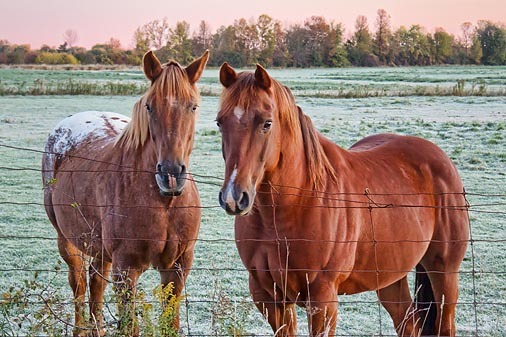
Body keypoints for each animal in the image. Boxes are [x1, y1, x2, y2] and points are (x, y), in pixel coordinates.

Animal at [42, 50, 208, 336]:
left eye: (193, 106)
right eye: (149, 106)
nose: (170, 174)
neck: (164, 205)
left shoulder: (178, 268)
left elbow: (170, 324)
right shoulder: (126, 271)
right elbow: (130, 326)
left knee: (96, 282)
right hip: (67, 240)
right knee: (79, 283)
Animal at [216, 62, 470, 334]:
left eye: (266, 123)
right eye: (220, 122)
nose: (234, 197)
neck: (297, 202)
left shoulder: (323, 298)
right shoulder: (268, 297)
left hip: (444, 274)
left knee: (445, 324)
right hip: (391, 278)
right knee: (408, 323)